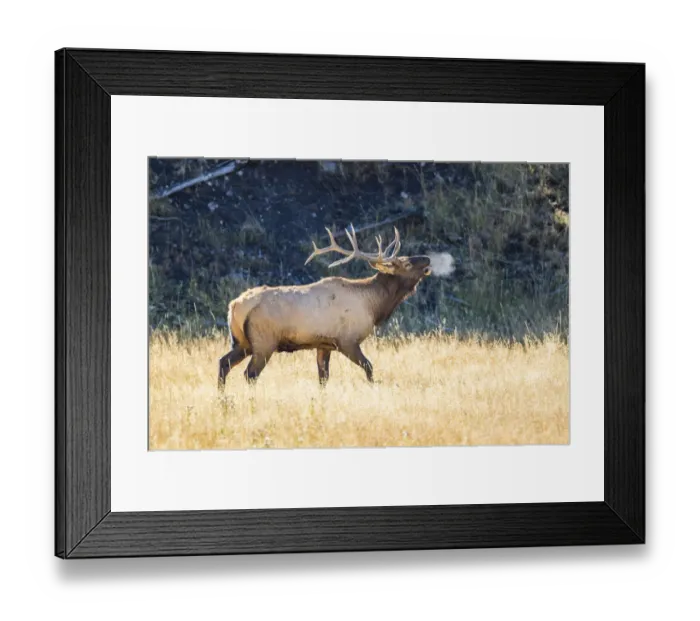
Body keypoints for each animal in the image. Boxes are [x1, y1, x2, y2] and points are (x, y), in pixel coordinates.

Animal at [218, 225, 431, 389]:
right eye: (406, 263)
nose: (427, 258)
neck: (373, 306)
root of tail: (234, 306)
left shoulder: (323, 344)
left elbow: (323, 379)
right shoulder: (347, 340)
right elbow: (369, 367)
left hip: (242, 341)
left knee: (223, 363)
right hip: (264, 341)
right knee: (250, 374)